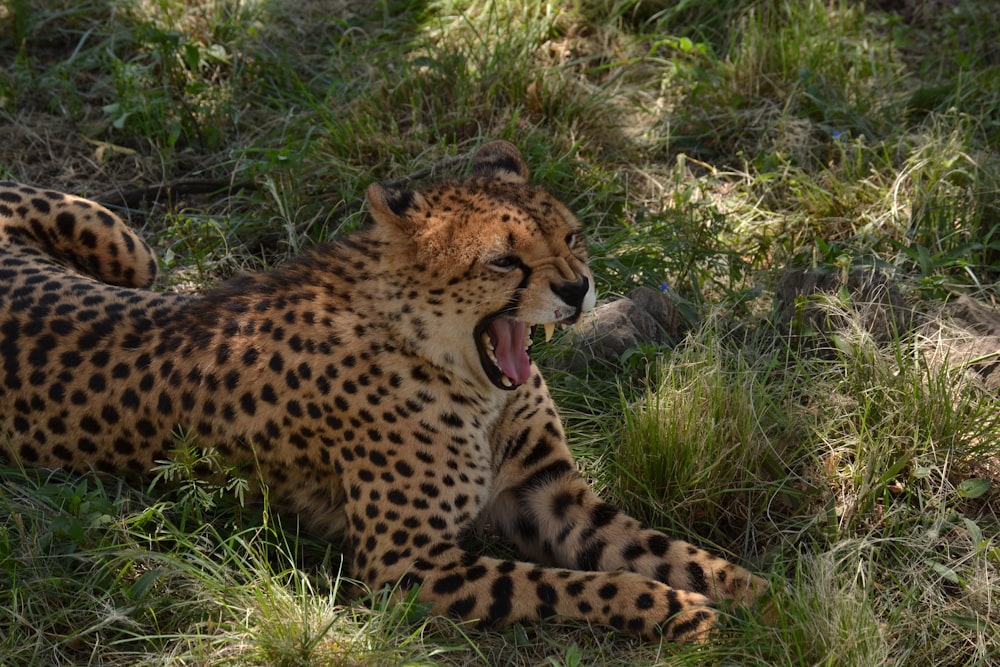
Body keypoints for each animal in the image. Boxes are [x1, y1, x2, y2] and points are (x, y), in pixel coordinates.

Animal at [0, 142, 764, 640]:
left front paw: (762, 593)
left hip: (132, 251)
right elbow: (572, 582)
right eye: (504, 261)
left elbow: (666, 549)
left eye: (571, 236)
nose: (578, 290)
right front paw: (676, 610)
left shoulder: (545, 493)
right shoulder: (404, 566)